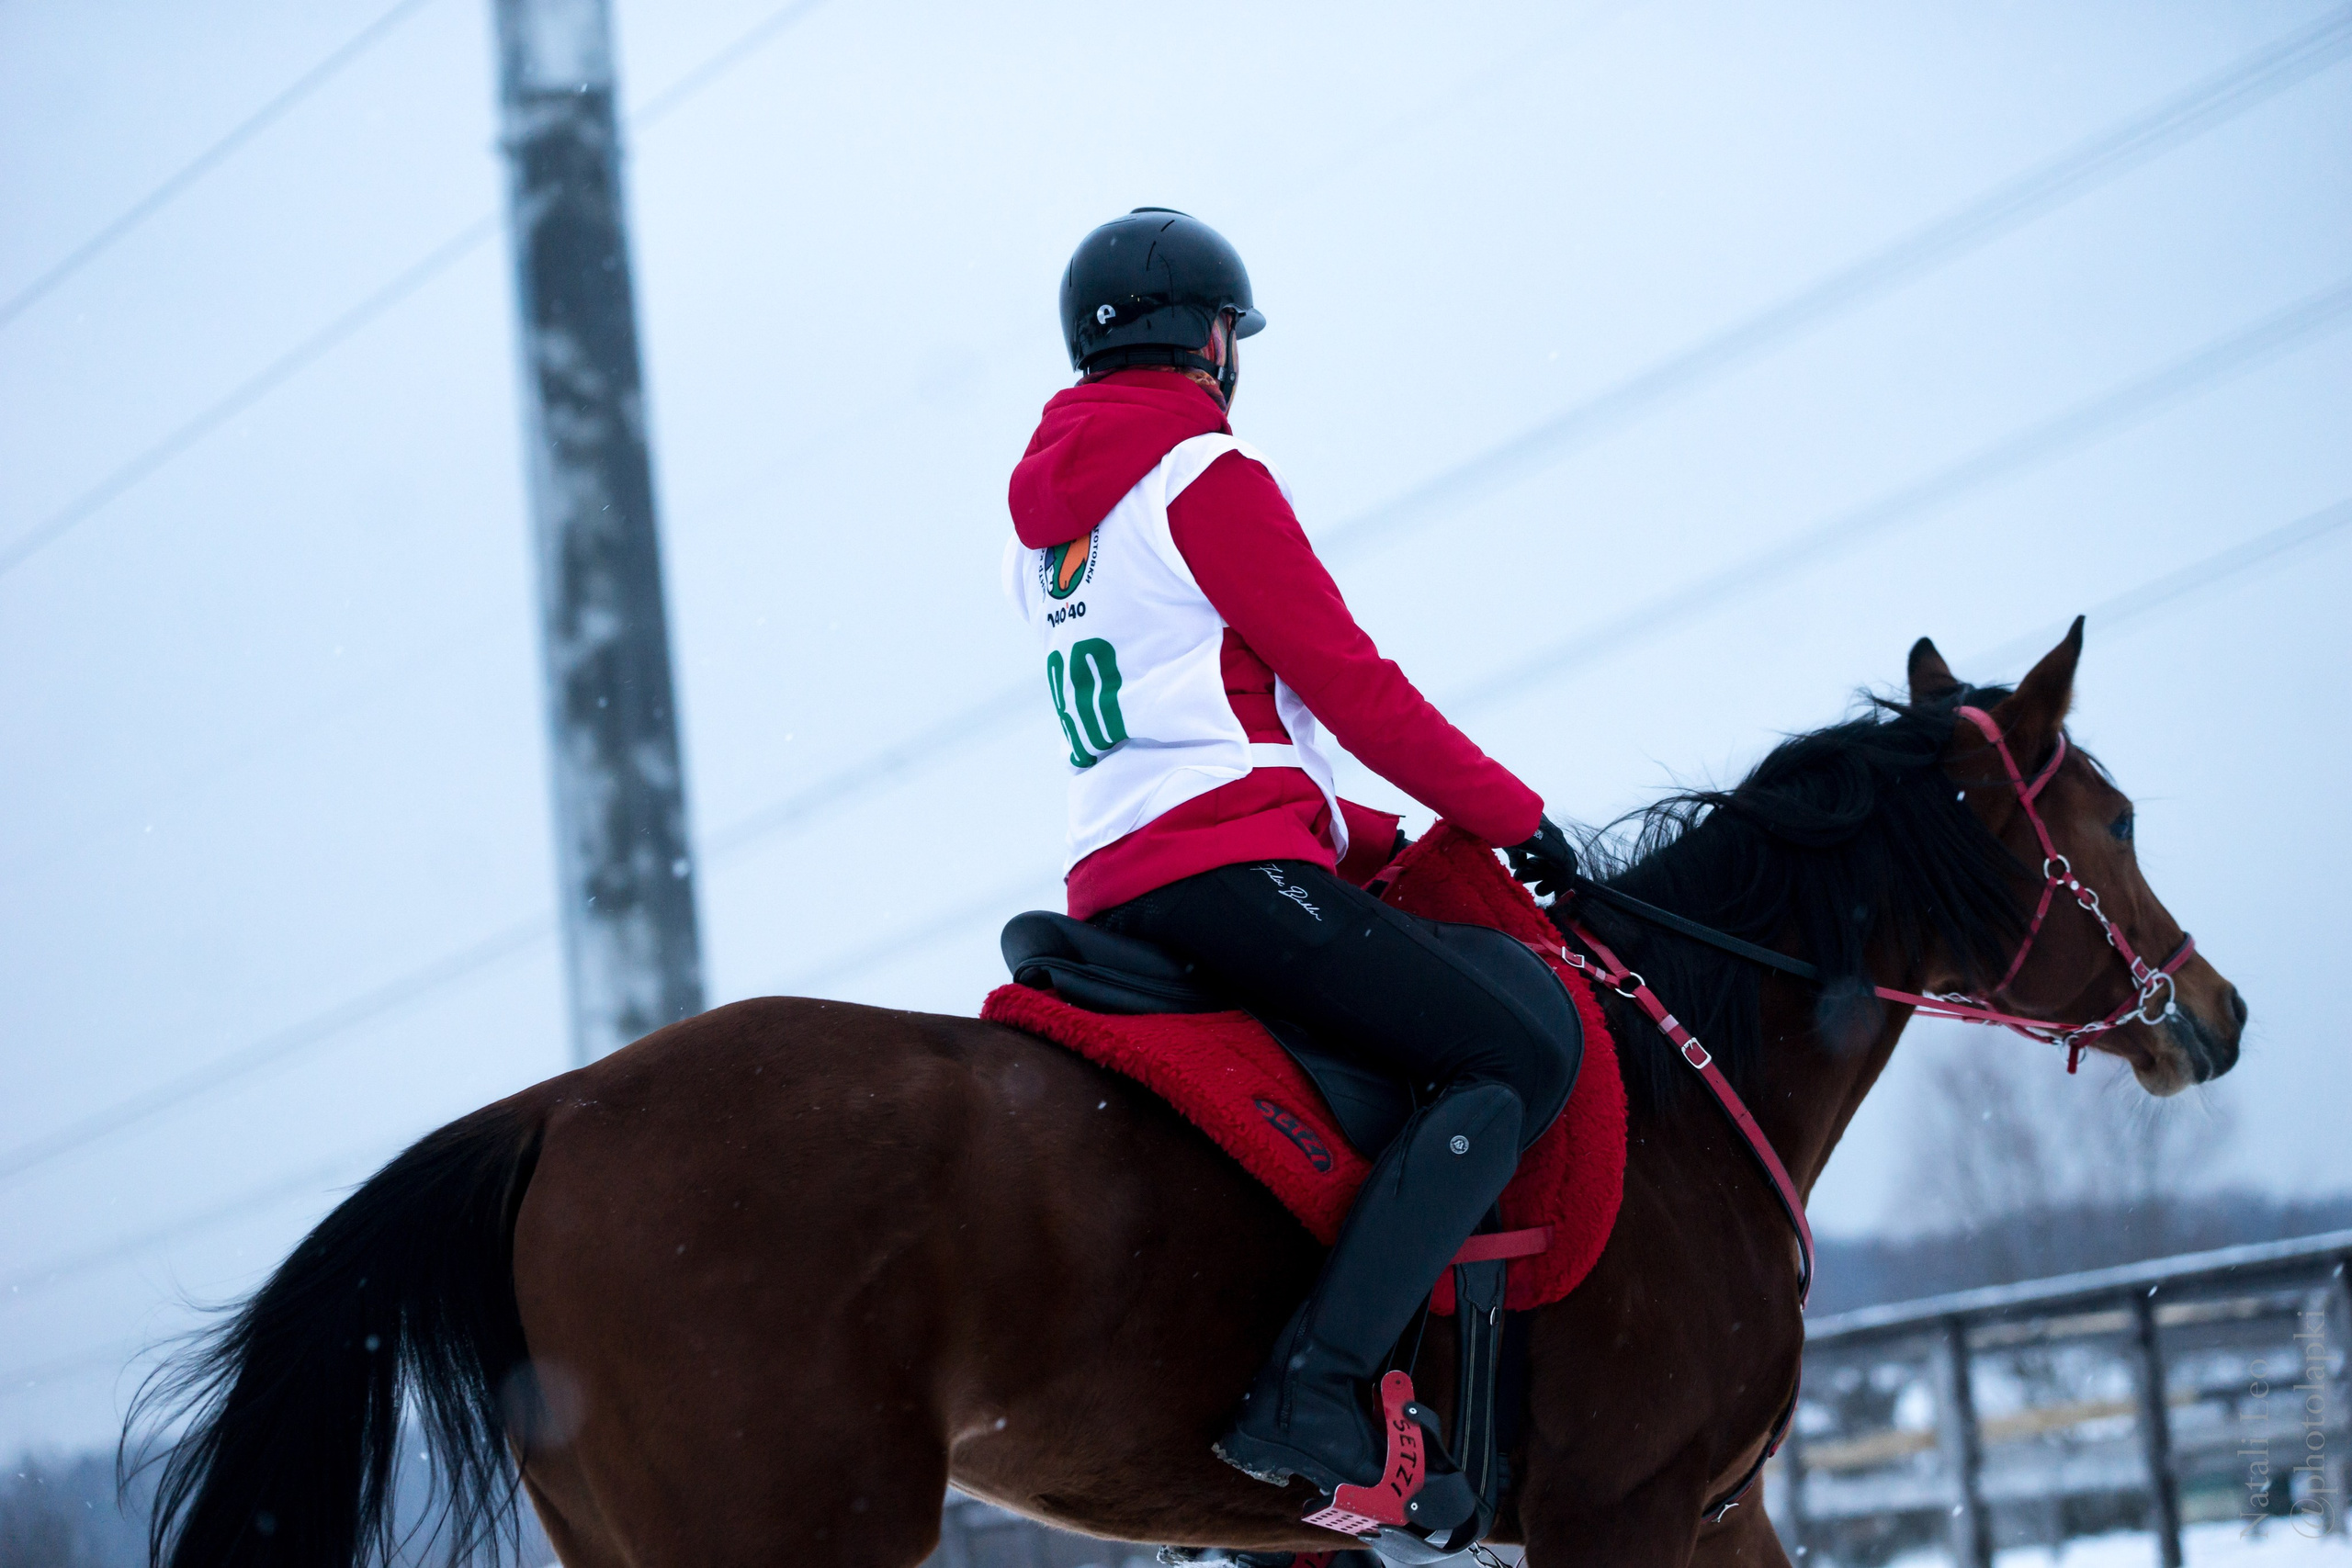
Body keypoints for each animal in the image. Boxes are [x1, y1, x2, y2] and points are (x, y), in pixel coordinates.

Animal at [131, 623, 2245, 1568]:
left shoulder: (1703, 1519)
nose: (2210, 1012)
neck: (1681, 1058)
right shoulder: (1628, 1517)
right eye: (2114, 817)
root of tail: (561, 1103)